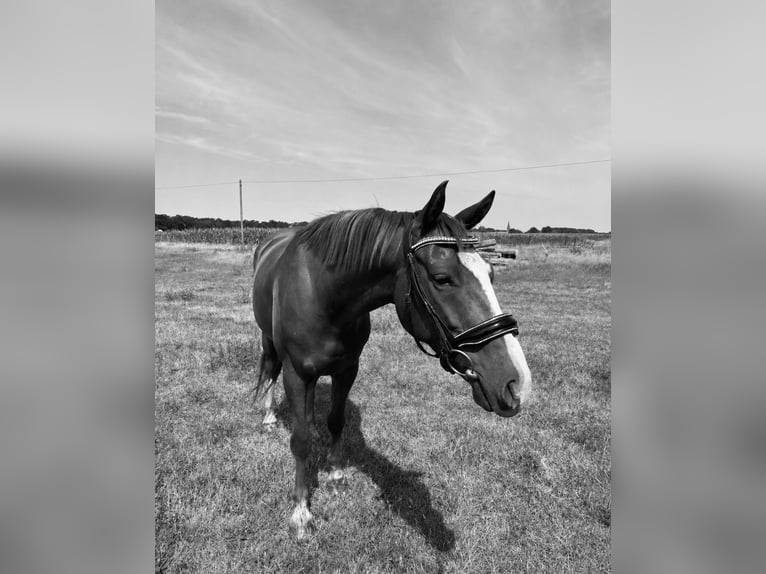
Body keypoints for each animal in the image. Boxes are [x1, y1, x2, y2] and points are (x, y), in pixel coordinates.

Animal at [251, 180, 532, 538]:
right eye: (441, 278)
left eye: (491, 272)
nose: (516, 383)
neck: (324, 296)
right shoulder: (296, 373)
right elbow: (299, 440)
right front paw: (301, 511)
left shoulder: (347, 370)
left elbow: (335, 420)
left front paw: (335, 475)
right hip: (269, 342)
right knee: (269, 372)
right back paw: (269, 417)